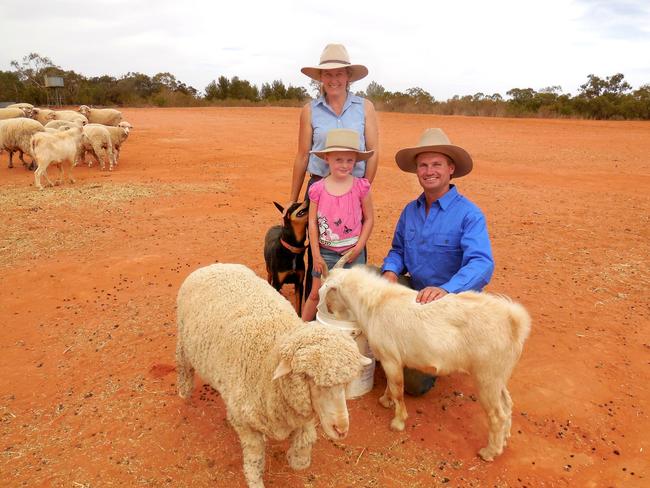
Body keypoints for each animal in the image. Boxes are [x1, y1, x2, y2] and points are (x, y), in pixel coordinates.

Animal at [176, 264, 370, 488]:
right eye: (309, 378)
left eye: (346, 383)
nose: (341, 430)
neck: (271, 352)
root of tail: (214, 266)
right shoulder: (247, 424)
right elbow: (254, 458)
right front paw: (255, 480)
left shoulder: (301, 414)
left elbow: (305, 441)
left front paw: (298, 460)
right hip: (183, 343)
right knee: (184, 368)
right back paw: (184, 392)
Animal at [316, 266, 528, 462]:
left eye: (328, 292)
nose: (328, 310)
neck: (376, 303)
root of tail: (515, 322)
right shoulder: (393, 360)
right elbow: (391, 386)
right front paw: (385, 400)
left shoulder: (390, 358)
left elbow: (398, 389)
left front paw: (398, 422)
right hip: (498, 376)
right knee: (507, 404)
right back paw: (504, 439)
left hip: (486, 378)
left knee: (497, 415)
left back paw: (489, 452)